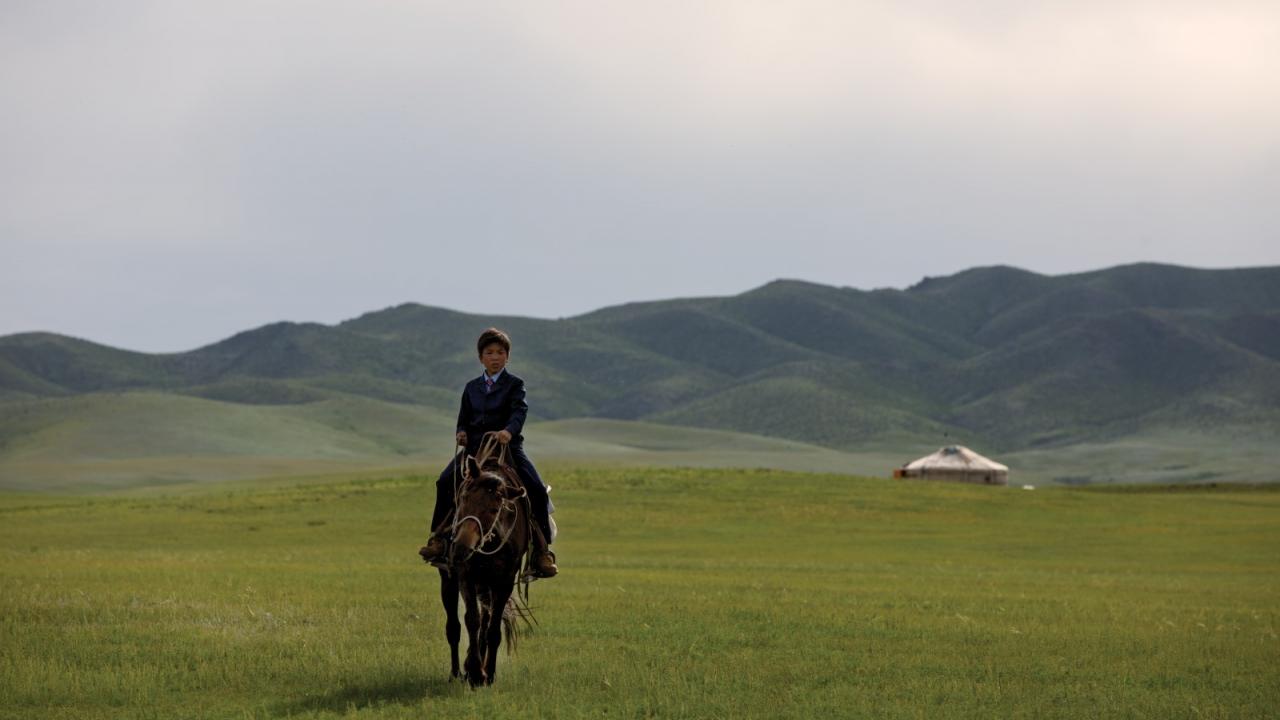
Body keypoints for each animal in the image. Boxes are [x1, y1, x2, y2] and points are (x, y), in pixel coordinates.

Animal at [435, 443, 529, 681]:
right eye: (463, 497)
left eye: (495, 509)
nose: (460, 548)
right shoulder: (465, 576)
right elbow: (471, 620)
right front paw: (475, 671)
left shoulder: (504, 582)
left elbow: (492, 628)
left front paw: (488, 673)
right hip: (450, 581)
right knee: (454, 627)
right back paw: (456, 672)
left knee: (486, 623)